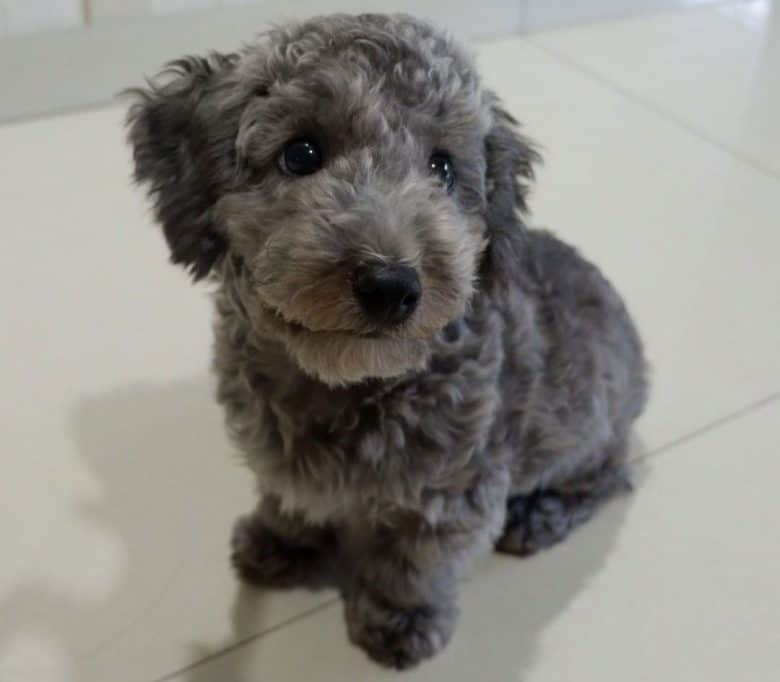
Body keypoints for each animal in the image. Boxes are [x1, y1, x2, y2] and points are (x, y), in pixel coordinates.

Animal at [125, 13, 648, 668]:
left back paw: (539, 515)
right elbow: (285, 495)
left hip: (586, 433)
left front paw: (400, 620)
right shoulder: (275, 449)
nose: (392, 285)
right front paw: (282, 542)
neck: (344, 384)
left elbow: (413, 562)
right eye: (301, 153)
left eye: (443, 168)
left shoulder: (453, 491)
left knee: (612, 476)